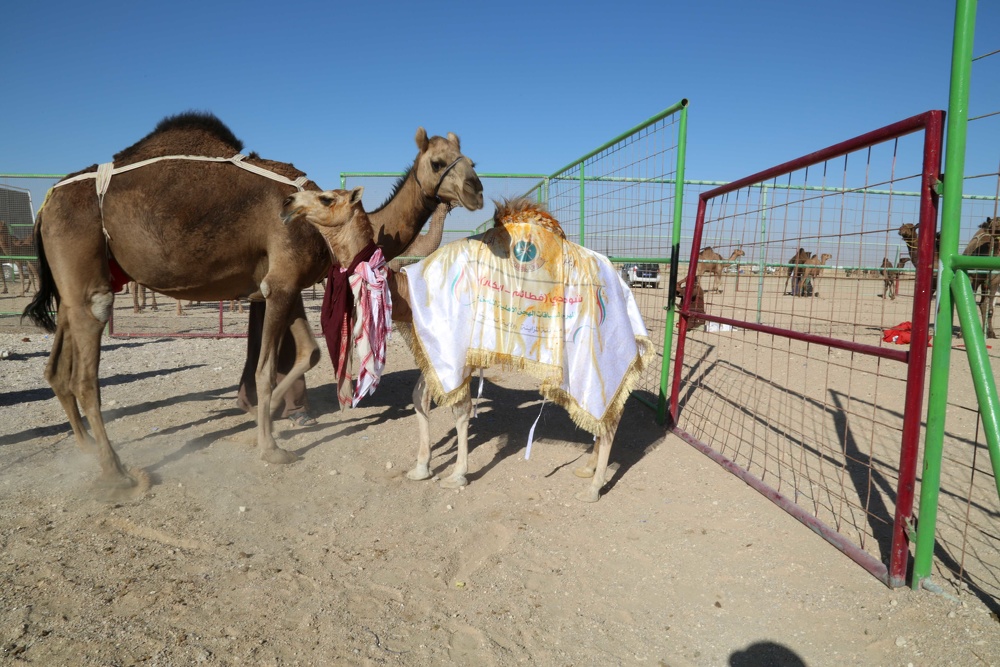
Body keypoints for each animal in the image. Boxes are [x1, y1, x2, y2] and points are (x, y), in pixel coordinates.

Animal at [21, 112, 483, 499]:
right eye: (438, 162)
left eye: (471, 160)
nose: (476, 191)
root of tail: (45, 205)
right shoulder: (281, 283)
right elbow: (265, 369)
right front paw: (270, 444)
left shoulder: (287, 285)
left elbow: (309, 353)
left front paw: (267, 416)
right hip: (87, 274)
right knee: (86, 374)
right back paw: (117, 473)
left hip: (73, 284)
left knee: (57, 367)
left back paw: (84, 450)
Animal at [282, 190, 650, 502]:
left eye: (326, 198)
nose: (289, 202)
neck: (407, 292)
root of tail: (622, 286)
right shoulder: (435, 350)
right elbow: (420, 397)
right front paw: (421, 467)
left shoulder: (457, 350)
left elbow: (460, 409)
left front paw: (457, 474)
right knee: (607, 410)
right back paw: (587, 468)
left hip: (595, 351)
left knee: (611, 414)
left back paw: (593, 487)